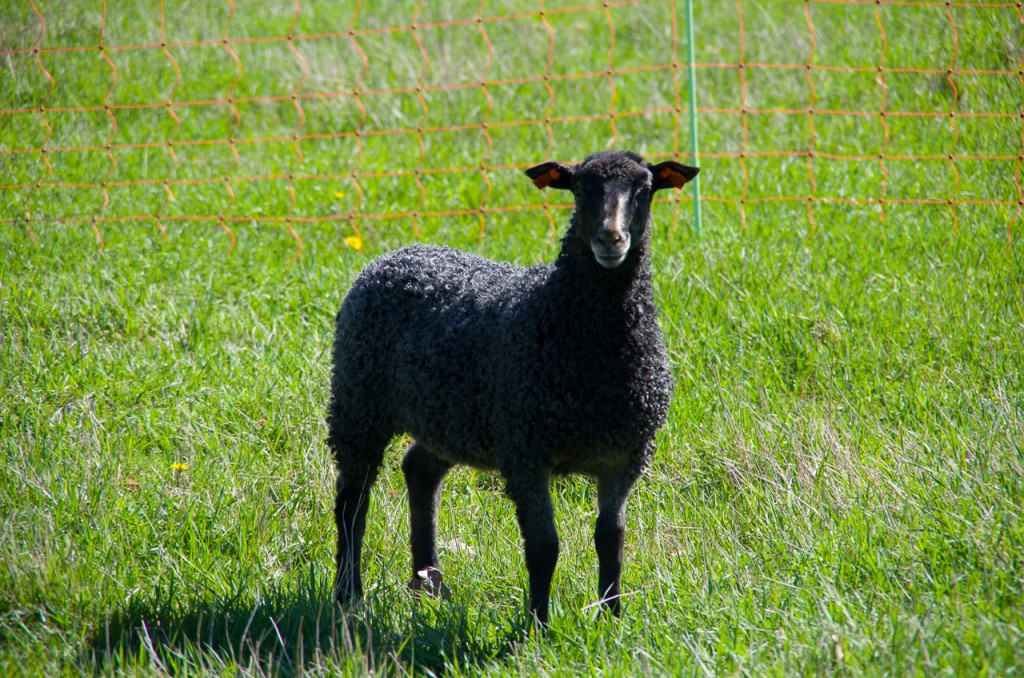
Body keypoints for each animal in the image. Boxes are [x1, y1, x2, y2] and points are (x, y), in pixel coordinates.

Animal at [325, 150, 696, 626]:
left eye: (645, 190)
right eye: (580, 190)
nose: (610, 238)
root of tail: (399, 253)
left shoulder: (625, 457)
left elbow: (610, 539)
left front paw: (612, 617)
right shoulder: (525, 454)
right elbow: (543, 547)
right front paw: (538, 625)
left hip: (449, 419)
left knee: (420, 471)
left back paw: (429, 583)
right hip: (358, 402)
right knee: (352, 501)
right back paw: (348, 593)